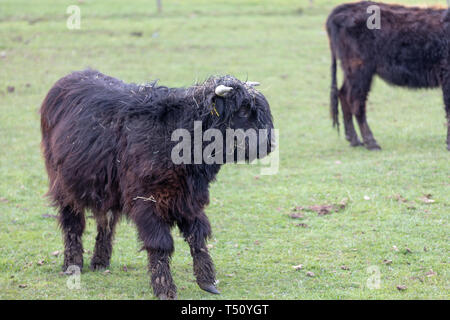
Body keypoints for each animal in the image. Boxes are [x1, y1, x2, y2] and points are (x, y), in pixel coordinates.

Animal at [326, 0, 450, 151]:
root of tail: (343, 9)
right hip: (360, 70)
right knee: (356, 102)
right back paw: (371, 142)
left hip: (350, 71)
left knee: (343, 95)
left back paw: (354, 140)